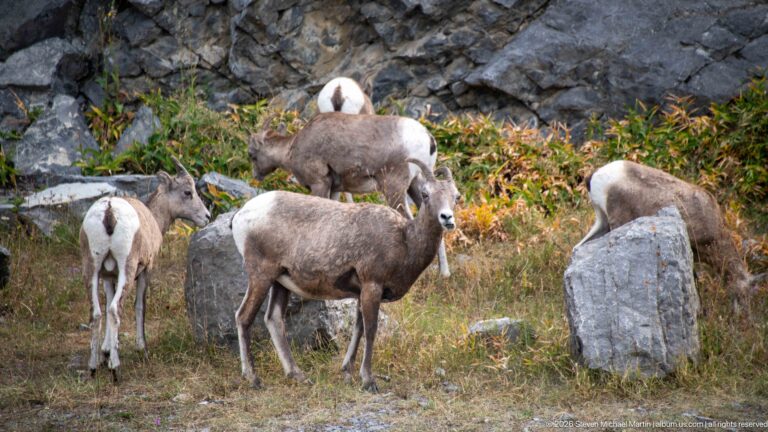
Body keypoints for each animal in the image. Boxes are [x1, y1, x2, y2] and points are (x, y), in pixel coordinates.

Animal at [80, 157, 210, 382]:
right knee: (115, 309)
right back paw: (116, 370)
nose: (207, 216)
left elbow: (107, 304)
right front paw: (142, 349)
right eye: (188, 192)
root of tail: (109, 212)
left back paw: (93, 368)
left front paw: (106, 352)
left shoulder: (108, 277)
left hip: (92, 270)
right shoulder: (146, 270)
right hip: (127, 270)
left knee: (97, 312)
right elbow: (140, 306)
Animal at [231, 159, 460, 392]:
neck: (405, 240)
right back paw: (253, 378)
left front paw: (347, 371)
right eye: (425, 194)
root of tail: (241, 215)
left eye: (456, 197)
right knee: (244, 317)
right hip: (261, 276)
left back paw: (298, 375)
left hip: (281, 283)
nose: (447, 218)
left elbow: (358, 329)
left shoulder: (361, 293)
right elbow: (370, 330)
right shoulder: (372, 287)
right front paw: (368, 380)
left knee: (274, 319)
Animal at [248, 111, 453, 277]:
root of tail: (428, 139)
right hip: (417, 185)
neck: (294, 147)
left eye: (252, 154)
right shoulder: (335, 190)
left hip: (394, 189)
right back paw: (444, 274)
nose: (256, 176)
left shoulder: (319, 183)